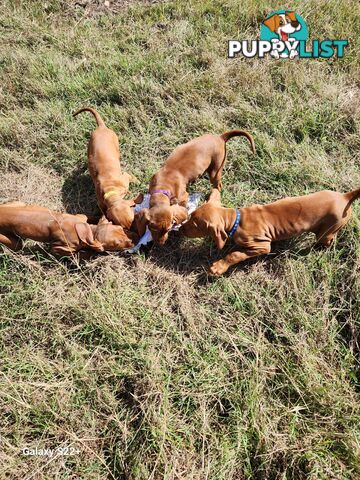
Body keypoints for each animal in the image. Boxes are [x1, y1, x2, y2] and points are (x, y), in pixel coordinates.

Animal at [0, 202, 138, 256]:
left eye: (120, 228)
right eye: (116, 244)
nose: (136, 238)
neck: (87, 231)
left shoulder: (81, 217)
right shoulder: (59, 248)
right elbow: (76, 253)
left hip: (17, 203)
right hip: (13, 242)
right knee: (18, 245)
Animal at [183, 188, 360, 276]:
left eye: (195, 225)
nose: (181, 229)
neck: (237, 220)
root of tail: (345, 197)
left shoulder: (263, 246)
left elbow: (235, 254)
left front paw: (219, 267)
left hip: (328, 230)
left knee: (327, 240)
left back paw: (315, 249)